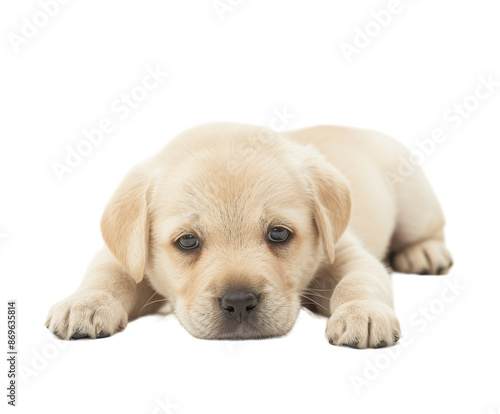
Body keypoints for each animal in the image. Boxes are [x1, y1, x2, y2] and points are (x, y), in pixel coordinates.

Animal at [46, 122, 454, 346]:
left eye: (279, 234)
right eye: (187, 241)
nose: (239, 302)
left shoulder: (345, 251)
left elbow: (359, 281)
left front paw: (363, 313)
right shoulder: (124, 254)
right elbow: (107, 275)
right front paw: (86, 304)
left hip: (414, 201)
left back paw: (425, 253)